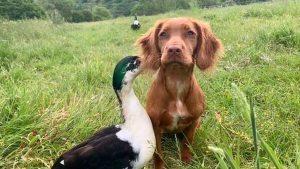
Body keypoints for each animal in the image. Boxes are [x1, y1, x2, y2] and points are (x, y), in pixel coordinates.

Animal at [136, 17, 223, 168]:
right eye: (163, 34)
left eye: (190, 33)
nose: (173, 49)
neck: (177, 82)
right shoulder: (154, 126)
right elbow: (158, 152)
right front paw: (160, 167)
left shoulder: (194, 121)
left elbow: (187, 142)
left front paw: (186, 160)